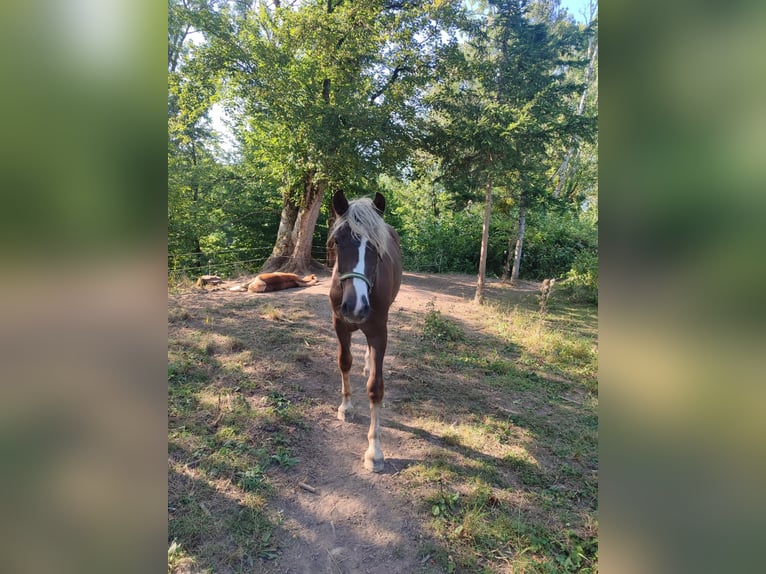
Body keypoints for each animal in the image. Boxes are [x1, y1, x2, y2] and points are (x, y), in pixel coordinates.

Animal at [328, 191, 404, 474]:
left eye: (376, 246)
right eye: (337, 241)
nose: (356, 306)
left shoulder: (379, 333)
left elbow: (375, 388)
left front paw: (375, 450)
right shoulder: (340, 325)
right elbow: (344, 362)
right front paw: (346, 407)